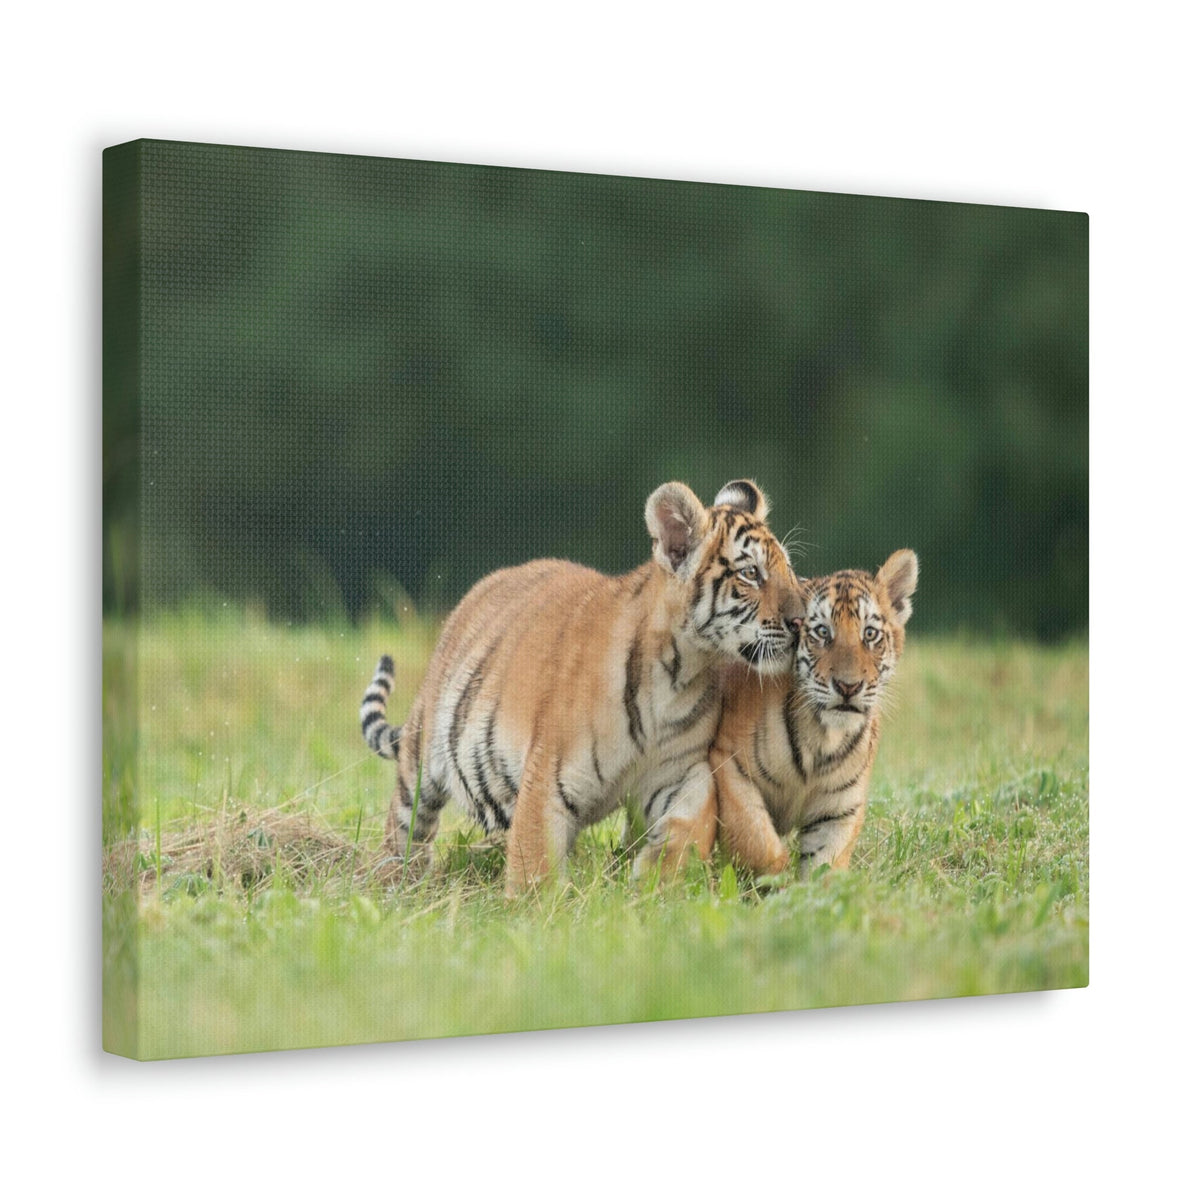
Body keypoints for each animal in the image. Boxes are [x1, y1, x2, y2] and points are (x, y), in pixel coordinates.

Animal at [360, 480, 802, 896]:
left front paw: (658, 878)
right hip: (420, 766)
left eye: (788, 569)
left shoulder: (681, 770)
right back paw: (394, 883)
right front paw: (536, 911)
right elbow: (535, 866)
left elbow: (693, 823)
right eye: (750, 573)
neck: (680, 672)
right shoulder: (546, 782)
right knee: (405, 829)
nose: (801, 622)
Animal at [710, 549, 918, 879]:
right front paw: (777, 881)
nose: (848, 686)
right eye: (822, 632)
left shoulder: (839, 808)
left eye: (869, 634)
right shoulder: (730, 765)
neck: (823, 736)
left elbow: (825, 866)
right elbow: (756, 841)